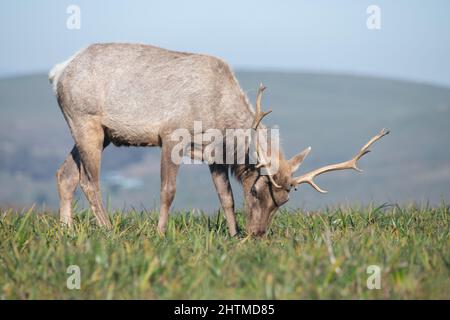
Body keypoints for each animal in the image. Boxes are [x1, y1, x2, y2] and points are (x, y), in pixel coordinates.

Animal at [48, 43, 386, 235]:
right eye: (257, 191)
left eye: (283, 201)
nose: (257, 233)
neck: (217, 117)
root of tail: (58, 71)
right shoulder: (171, 134)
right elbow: (168, 191)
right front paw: (160, 233)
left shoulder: (214, 155)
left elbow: (226, 198)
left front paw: (233, 235)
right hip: (86, 120)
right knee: (89, 181)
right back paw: (107, 230)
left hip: (100, 132)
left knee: (65, 174)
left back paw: (66, 230)